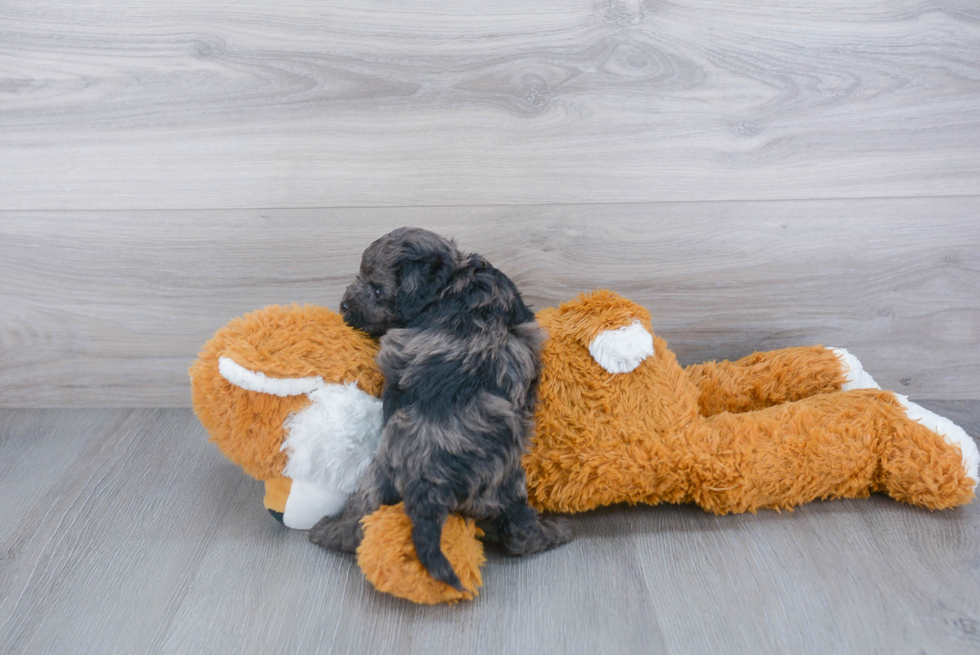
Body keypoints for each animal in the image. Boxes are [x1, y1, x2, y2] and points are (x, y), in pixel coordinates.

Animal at [310, 228, 572, 592]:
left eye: (377, 290)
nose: (344, 305)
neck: (452, 279)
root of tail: (429, 483)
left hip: (383, 476)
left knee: (363, 511)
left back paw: (330, 532)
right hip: (505, 484)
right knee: (519, 532)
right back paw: (554, 533)